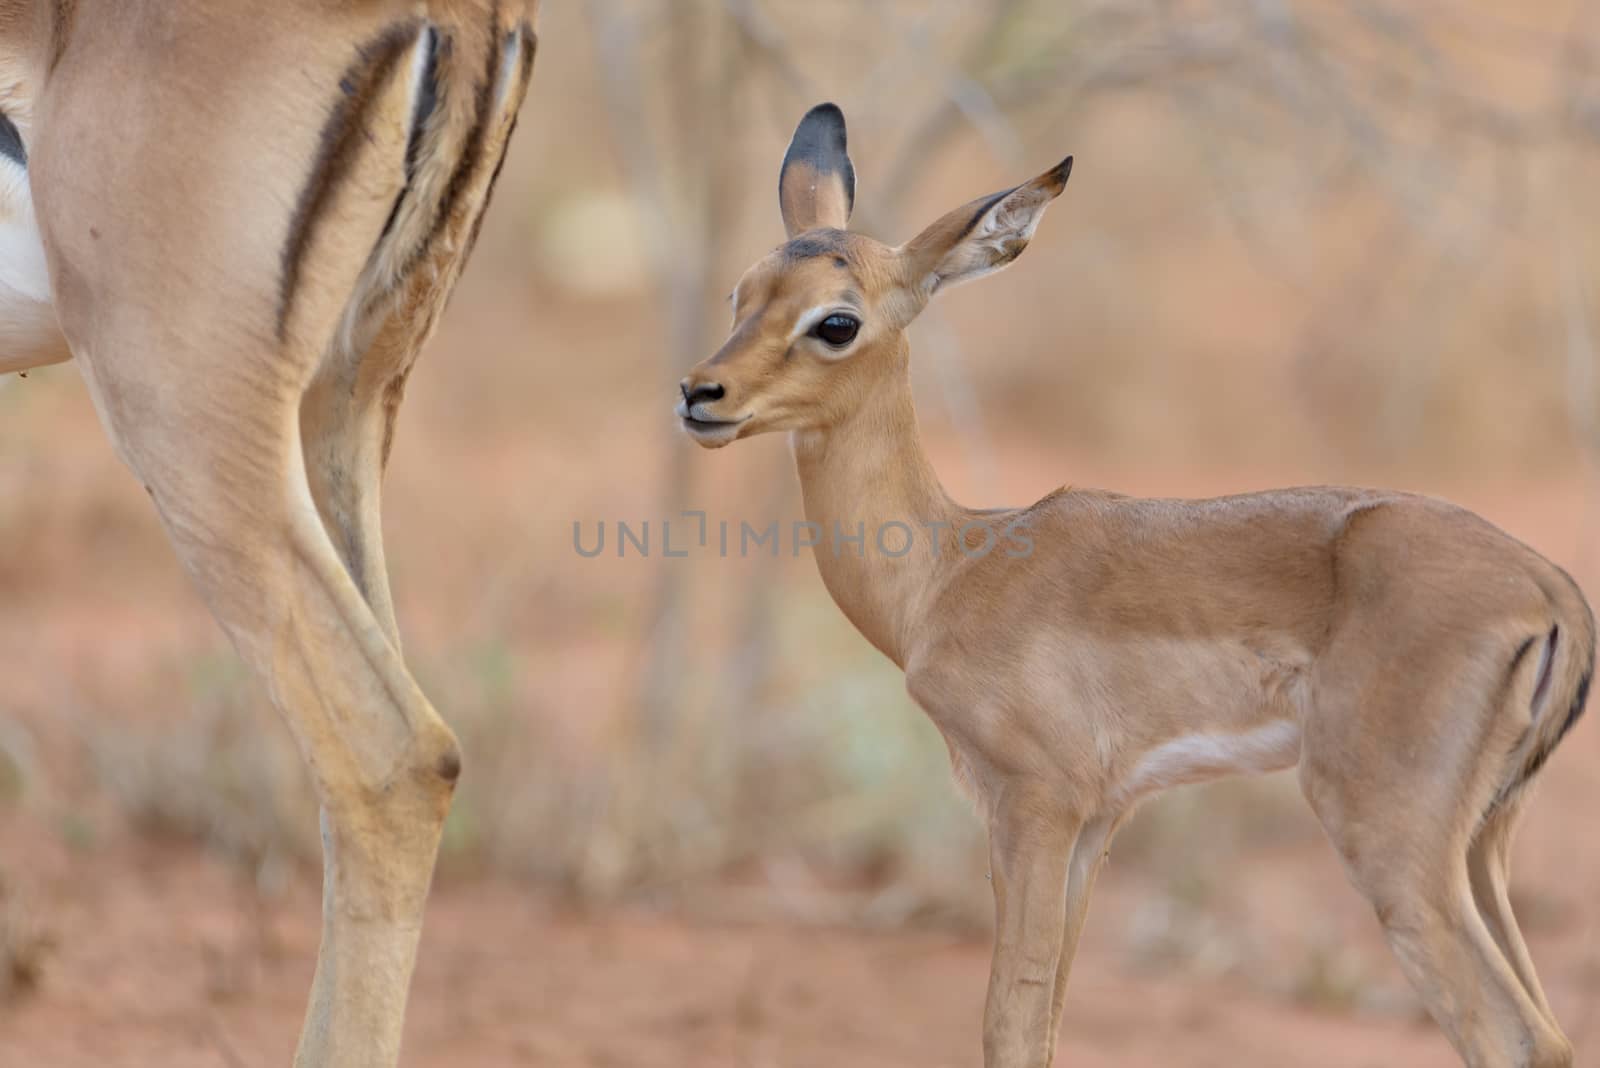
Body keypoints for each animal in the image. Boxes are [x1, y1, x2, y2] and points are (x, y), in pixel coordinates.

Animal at [681, 103, 1593, 1068]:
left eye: (836, 322)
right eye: (744, 292)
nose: (702, 394)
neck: (953, 565)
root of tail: (1549, 590)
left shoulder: (1033, 804)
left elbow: (1009, 1025)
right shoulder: (1099, 822)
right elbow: (1045, 1023)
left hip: (1391, 844)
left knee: (1516, 1035)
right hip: (1484, 842)